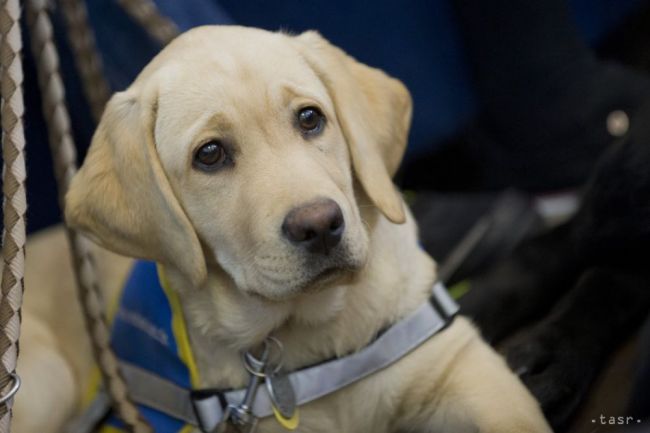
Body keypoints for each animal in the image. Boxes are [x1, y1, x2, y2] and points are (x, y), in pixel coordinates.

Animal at [12, 26, 548, 432]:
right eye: (210, 154)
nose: (320, 225)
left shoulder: (463, 369)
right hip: (48, 378)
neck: (311, 337)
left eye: (310, 118)